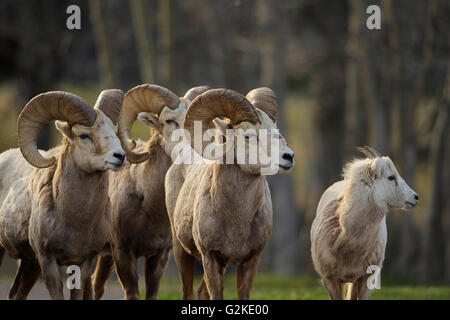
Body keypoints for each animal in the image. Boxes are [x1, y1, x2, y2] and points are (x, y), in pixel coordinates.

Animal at [0, 89, 125, 298]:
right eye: (84, 135)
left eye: (114, 132)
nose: (120, 156)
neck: (76, 221)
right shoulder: (48, 260)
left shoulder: (84, 261)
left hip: (30, 264)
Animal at [165, 86, 296, 298]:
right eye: (248, 136)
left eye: (276, 131)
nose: (288, 157)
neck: (237, 219)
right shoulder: (211, 258)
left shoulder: (250, 261)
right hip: (181, 251)